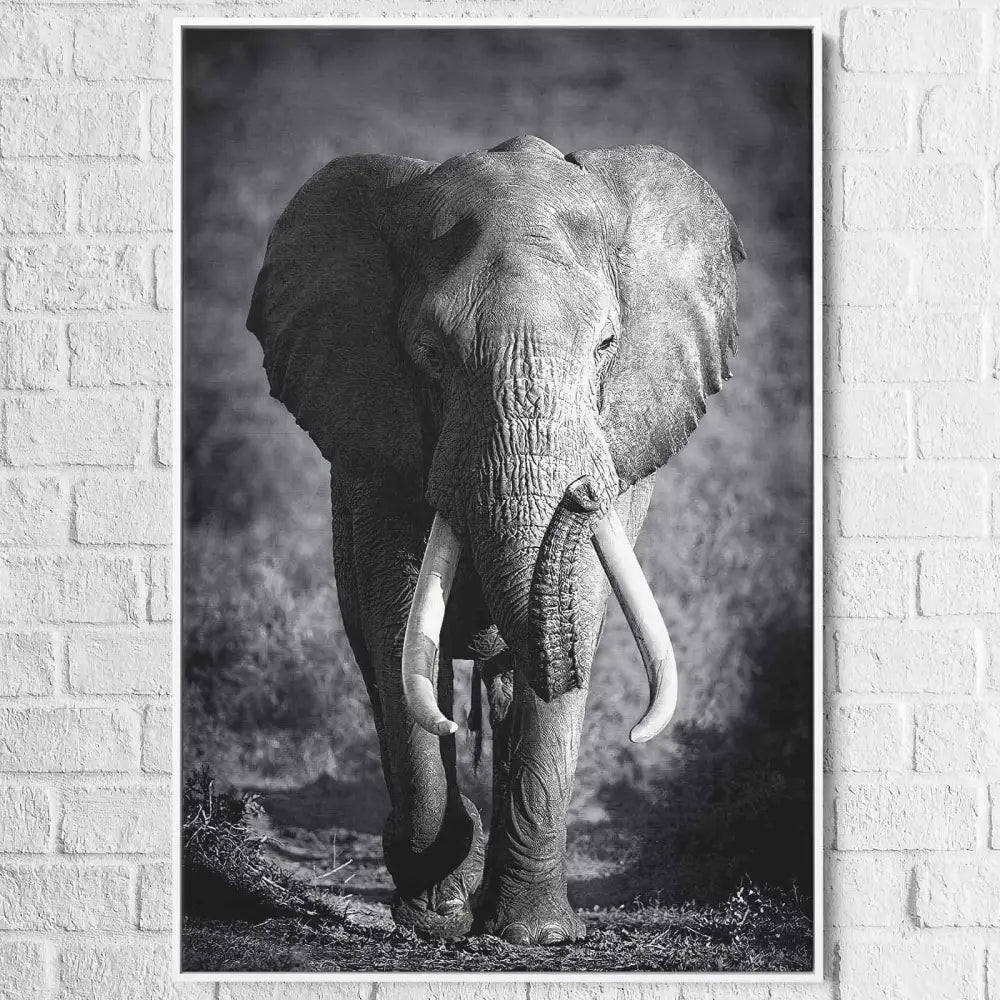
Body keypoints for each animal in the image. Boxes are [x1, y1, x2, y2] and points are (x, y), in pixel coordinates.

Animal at [246, 135, 744, 945]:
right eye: (429, 353)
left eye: (607, 345)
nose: (580, 493)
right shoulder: (375, 451)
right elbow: (398, 632)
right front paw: (436, 911)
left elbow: (576, 618)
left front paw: (536, 935)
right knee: (384, 662)